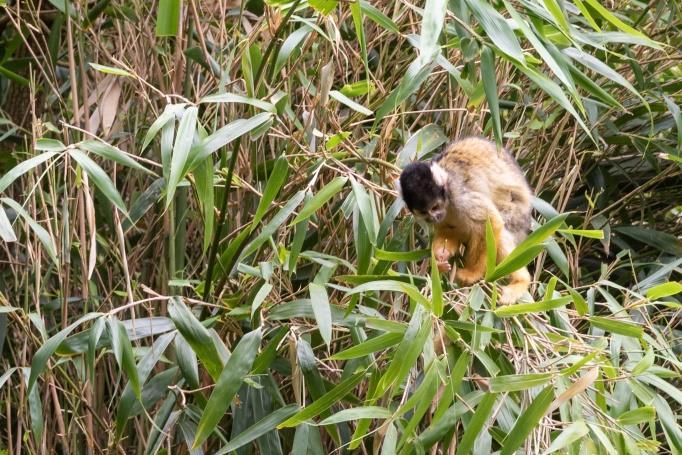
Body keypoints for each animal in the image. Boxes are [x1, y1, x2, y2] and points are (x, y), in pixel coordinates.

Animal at [398, 137, 532, 304]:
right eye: (424, 212)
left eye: (434, 207)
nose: (433, 217)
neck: (447, 197)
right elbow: (448, 230)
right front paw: (440, 258)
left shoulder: (460, 196)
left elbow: (490, 222)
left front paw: (472, 273)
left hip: (516, 215)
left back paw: (520, 281)